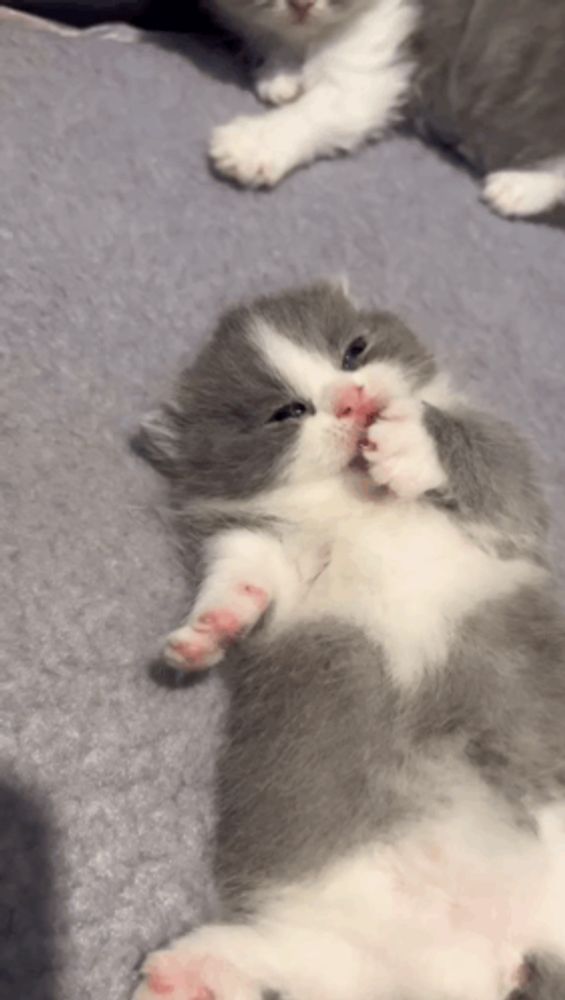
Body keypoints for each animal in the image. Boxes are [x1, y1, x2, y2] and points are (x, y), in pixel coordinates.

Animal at [130, 280, 564, 1000]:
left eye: (353, 349)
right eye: (286, 411)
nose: (354, 399)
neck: (358, 496)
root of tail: (489, 959)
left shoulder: (513, 503)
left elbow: (489, 461)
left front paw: (413, 441)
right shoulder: (267, 548)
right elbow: (242, 572)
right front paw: (206, 630)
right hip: (335, 946)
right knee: (292, 957)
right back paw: (192, 974)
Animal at [207, 0, 564, 218]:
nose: (301, 5)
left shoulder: (370, 73)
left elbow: (312, 113)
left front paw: (254, 143)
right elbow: (267, 38)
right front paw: (278, 72)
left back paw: (518, 187)